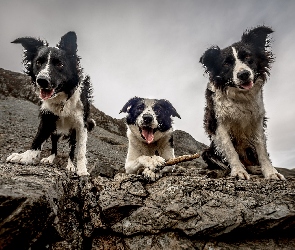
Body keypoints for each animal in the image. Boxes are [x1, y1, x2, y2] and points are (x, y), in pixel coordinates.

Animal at [6, 31, 95, 176]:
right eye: (38, 62)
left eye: (59, 64)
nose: (42, 80)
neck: (63, 98)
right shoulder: (47, 118)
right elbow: (37, 139)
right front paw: (25, 157)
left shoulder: (81, 125)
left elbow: (81, 151)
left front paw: (82, 170)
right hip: (55, 130)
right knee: (54, 146)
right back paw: (50, 158)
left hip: (72, 134)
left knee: (71, 151)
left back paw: (70, 166)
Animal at [200, 25, 286, 180]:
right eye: (226, 63)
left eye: (247, 57)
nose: (243, 74)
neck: (240, 96)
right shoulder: (217, 123)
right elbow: (230, 150)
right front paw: (238, 171)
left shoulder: (257, 120)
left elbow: (262, 149)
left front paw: (270, 172)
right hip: (208, 151)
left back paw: (255, 168)